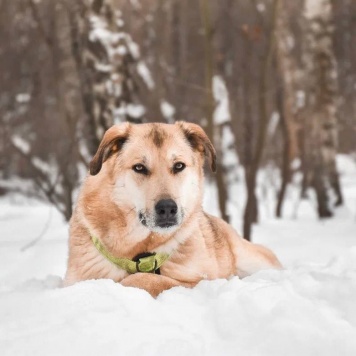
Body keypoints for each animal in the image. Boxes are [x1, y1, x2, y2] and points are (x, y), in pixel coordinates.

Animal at [63, 121, 280, 296]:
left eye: (178, 166)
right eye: (139, 168)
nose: (167, 208)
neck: (141, 252)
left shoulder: (201, 281)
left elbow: (147, 280)